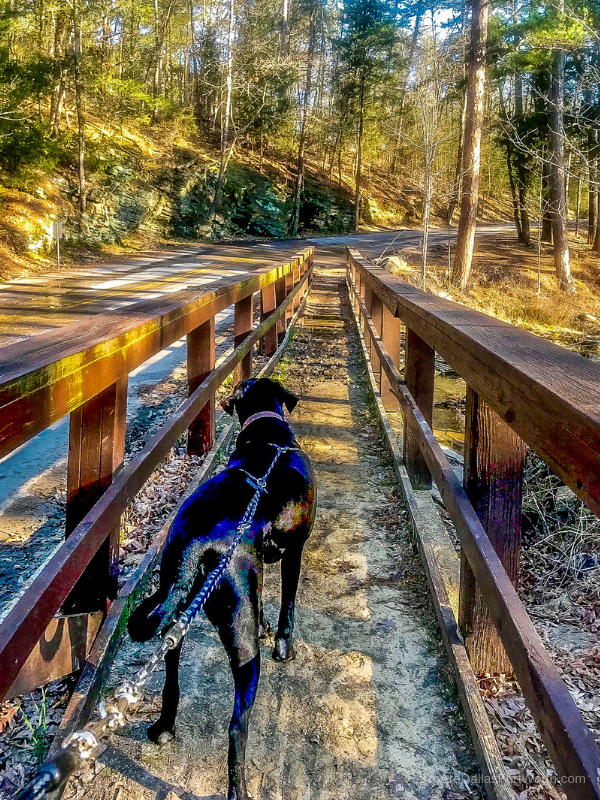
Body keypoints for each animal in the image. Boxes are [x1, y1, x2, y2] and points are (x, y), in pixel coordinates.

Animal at [126, 380, 314, 800]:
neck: (267, 434)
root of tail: (200, 543)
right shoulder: (295, 550)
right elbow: (288, 603)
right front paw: (283, 642)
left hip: (176, 616)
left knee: (172, 681)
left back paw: (163, 728)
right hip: (243, 646)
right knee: (236, 729)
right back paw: (237, 790)